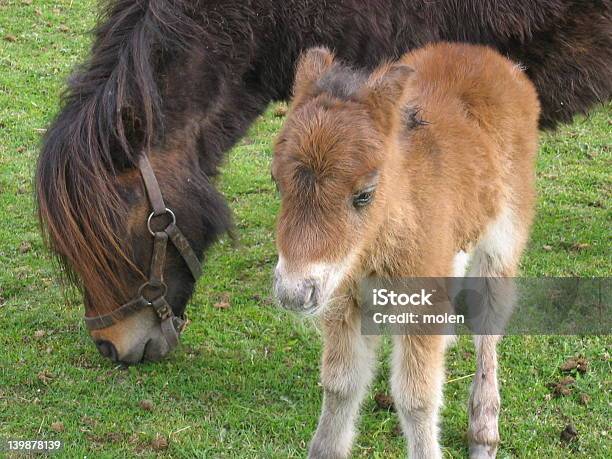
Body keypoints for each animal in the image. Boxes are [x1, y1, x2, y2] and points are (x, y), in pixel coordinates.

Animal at [270, 41, 536, 458]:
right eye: (277, 183)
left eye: (364, 194)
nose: (293, 292)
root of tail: (487, 56)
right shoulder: (342, 298)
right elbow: (340, 383)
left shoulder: (419, 304)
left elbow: (417, 398)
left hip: (503, 239)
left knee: (489, 322)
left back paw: (483, 433)